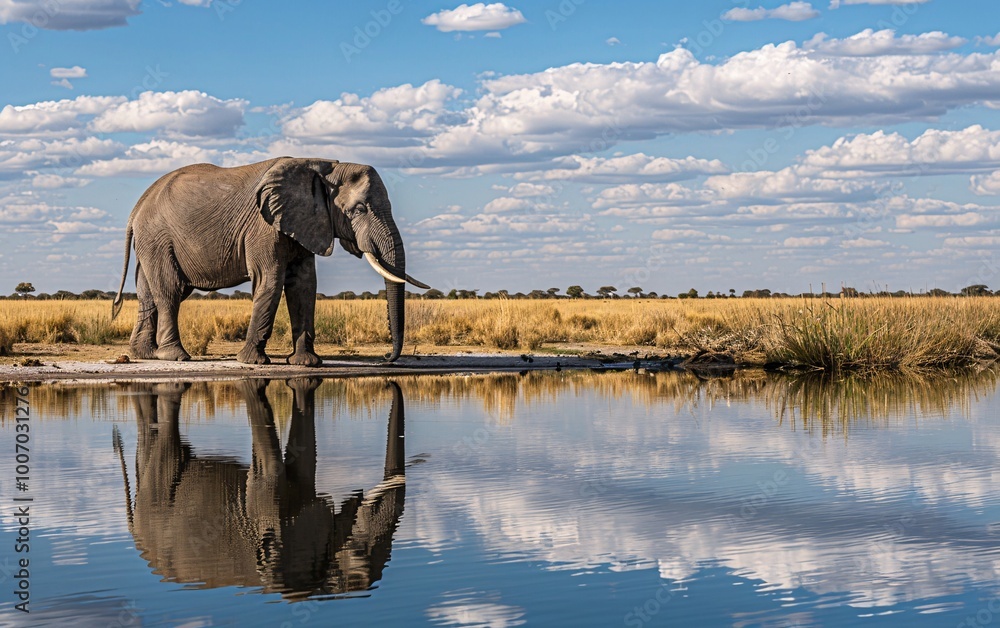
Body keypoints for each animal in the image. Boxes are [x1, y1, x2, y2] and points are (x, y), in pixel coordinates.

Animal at [110, 157, 429, 366]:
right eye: (359, 209)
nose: (385, 359)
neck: (324, 168)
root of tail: (137, 206)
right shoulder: (263, 226)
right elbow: (270, 280)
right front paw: (252, 362)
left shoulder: (304, 222)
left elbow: (304, 285)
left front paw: (305, 363)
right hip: (157, 237)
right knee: (171, 290)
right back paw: (175, 356)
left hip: (152, 241)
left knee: (148, 292)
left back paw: (144, 355)